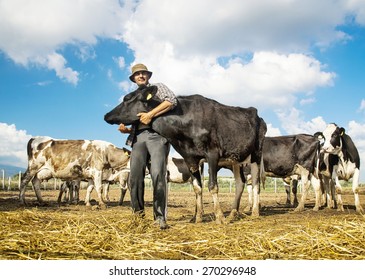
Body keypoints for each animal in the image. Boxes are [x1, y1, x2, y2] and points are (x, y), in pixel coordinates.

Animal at [104, 85, 266, 223]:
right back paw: (233, 213)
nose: (106, 115)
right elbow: (197, 188)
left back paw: (255, 212)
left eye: (127, 98)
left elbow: (212, 186)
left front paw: (220, 217)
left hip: (256, 154)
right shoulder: (190, 158)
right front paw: (198, 218)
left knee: (255, 183)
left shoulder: (212, 154)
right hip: (235, 160)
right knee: (240, 183)